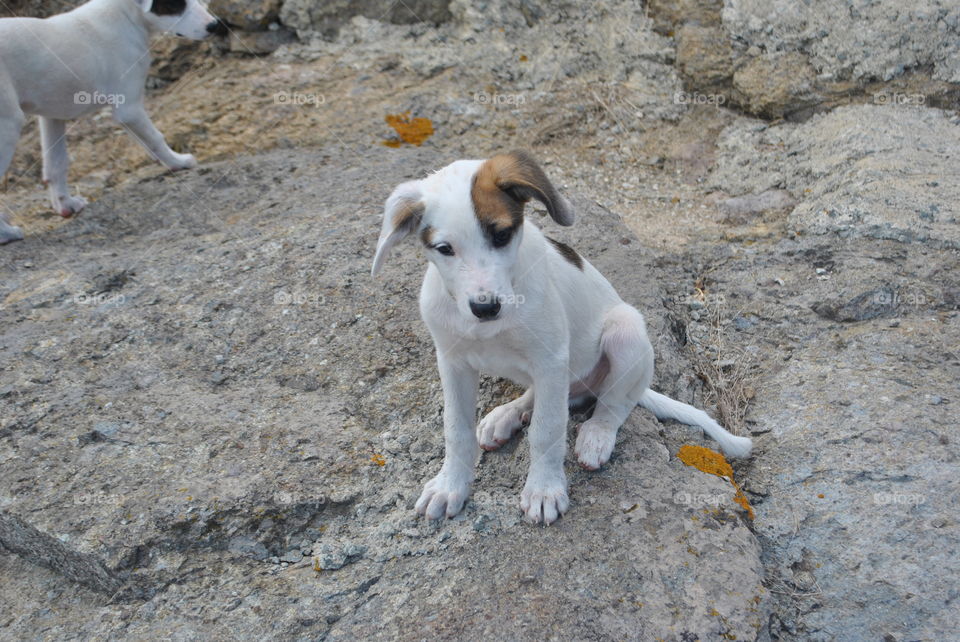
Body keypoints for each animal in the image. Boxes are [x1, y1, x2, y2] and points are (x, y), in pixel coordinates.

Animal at [372, 151, 752, 524]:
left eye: (501, 235)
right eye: (444, 248)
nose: (485, 307)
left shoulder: (550, 358)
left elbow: (547, 430)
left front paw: (543, 490)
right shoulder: (453, 362)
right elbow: (455, 429)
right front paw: (450, 486)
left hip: (625, 330)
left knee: (615, 403)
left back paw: (596, 435)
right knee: (546, 395)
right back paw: (507, 415)